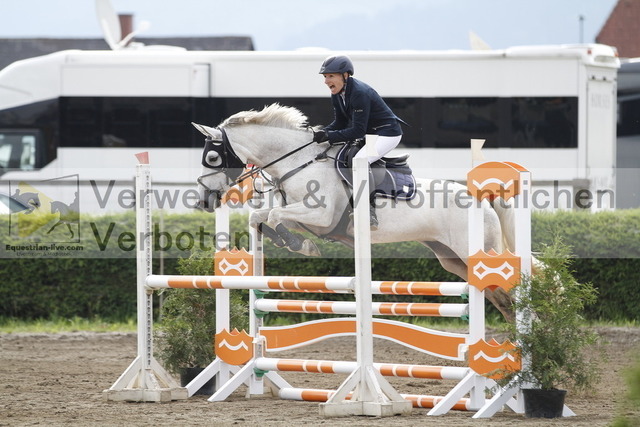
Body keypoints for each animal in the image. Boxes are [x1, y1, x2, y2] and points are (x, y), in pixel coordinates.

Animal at [194, 103, 517, 320]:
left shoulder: (320, 216)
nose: (205, 202)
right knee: (500, 298)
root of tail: (482, 199)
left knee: (508, 293)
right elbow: (259, 217)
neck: (297, 162)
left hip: (476, 253)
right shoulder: (302, 216)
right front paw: (291, 242)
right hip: (451, 258)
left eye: (213, 157)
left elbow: (273, 217)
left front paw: (303, 246)